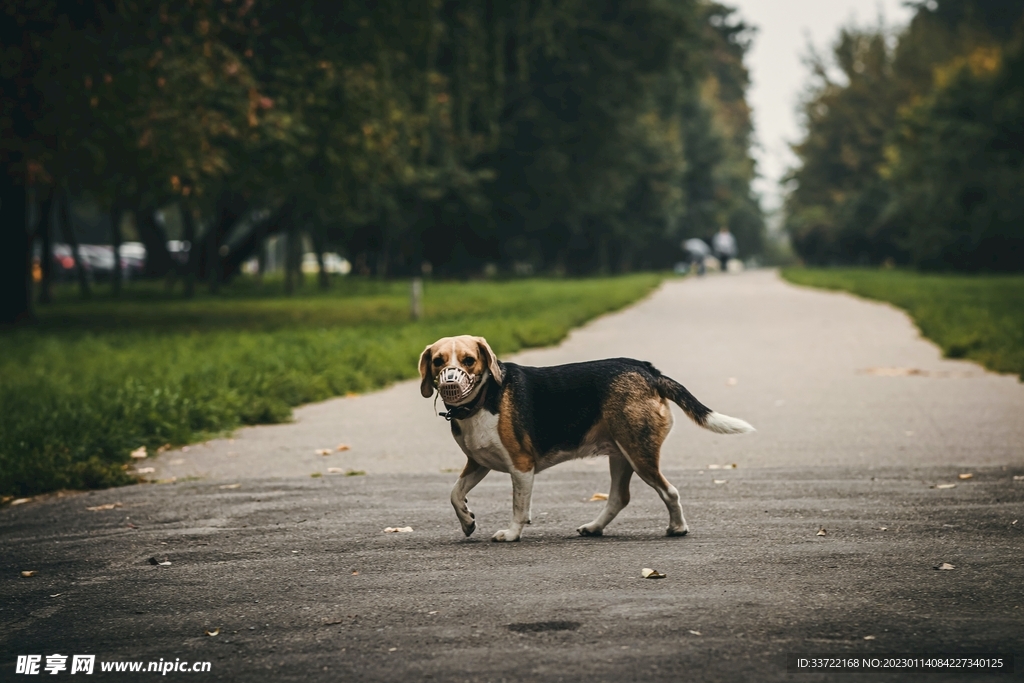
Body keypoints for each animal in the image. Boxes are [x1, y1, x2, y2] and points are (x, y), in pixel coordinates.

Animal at [415, 337, 753, 544]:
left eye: (469, 360)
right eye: (438, 361)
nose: (449, 379)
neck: (483, 399)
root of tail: (648, 370)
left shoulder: (521, 466)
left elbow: (518, 507)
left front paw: (511, 533)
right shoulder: (478, 463)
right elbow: (455, 493)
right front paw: (467, 521)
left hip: (638, 453)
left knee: (669, 491)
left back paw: (678, 528)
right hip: (620, 455)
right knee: (619, 498)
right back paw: (594, 527)